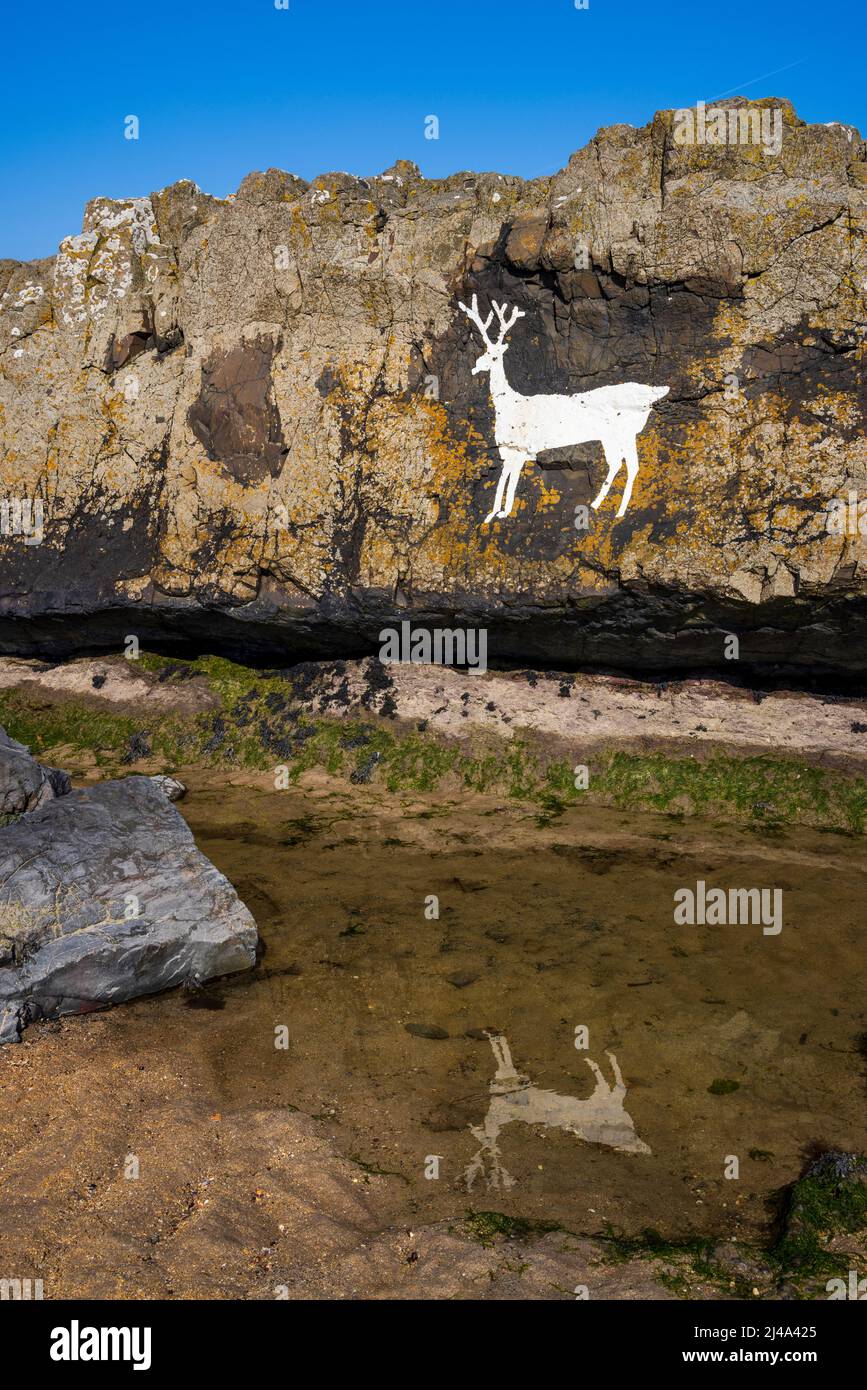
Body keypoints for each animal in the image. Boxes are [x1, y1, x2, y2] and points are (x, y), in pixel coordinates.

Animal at [458, 294, 669, 524]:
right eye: (485, 352)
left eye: (495, 356)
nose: (474, 368)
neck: (508, 406)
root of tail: (652, 393)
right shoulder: (507, 448)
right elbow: (503, 477)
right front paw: (492, 513)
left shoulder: (523, 447)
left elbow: (512, 480)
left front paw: (504, 512)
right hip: (610, 436)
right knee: (618, 463)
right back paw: (599, 504)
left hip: (624, 432)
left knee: (631, 465)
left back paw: (617, 510)